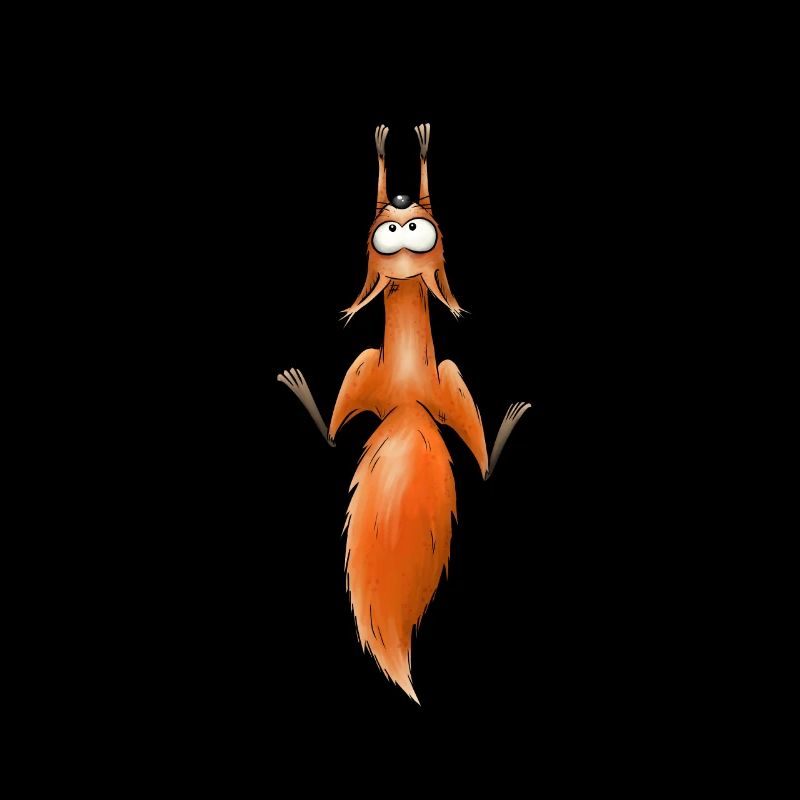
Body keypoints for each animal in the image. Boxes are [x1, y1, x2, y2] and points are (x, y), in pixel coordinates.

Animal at [277, 123, 530, 704]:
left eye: (413, 226)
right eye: (392, 228)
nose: (399, 203)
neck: (406, 273)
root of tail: (409, 402)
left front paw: (414, 149)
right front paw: (389, 151)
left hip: (425, 373)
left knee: (477, 464)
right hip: (383, 367)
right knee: (339, 436)